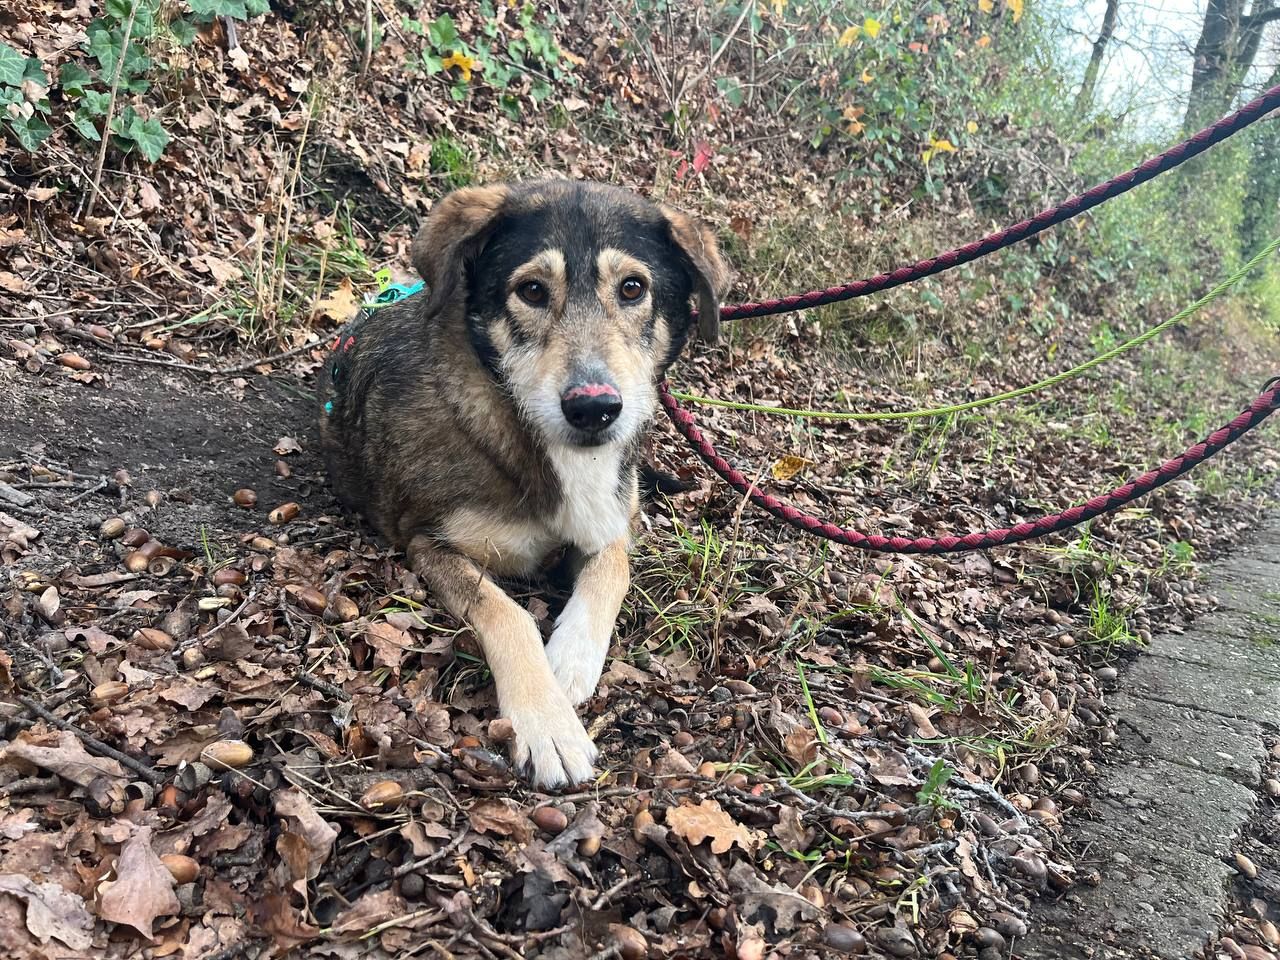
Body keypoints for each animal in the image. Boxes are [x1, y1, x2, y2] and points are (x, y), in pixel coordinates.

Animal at [318, 180, 728, 788]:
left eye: (633, 288)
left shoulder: (609, 524)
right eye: (532, 290)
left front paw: (572, 658)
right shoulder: (427, 541)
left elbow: (613, 570)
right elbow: (507, 612)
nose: (594, 409)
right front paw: (547, 722)